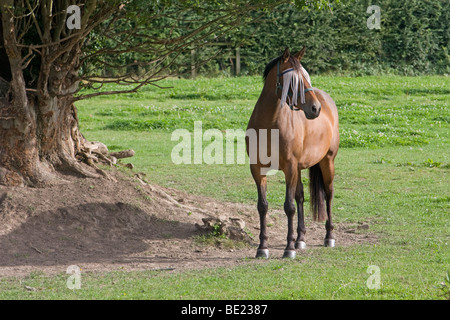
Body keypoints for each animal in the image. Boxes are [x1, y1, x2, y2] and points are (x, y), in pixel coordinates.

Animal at [246, 46, 338, 258]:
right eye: (294, 81)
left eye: (306, 77)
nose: (315, 108)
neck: (269, 124)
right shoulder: (257, 169)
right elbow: (262, 206)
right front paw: (262, 247)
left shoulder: (289, 167)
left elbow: (289, 207)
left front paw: (288, 249)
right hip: (299, 168)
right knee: (301, 196)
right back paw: (300, 239)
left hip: (327, 161)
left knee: (328, 194)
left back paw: (328, 236)